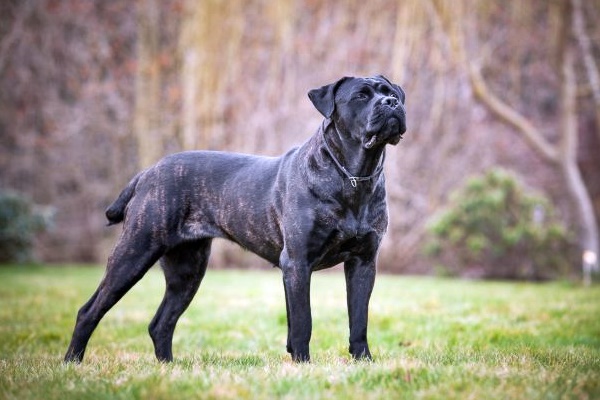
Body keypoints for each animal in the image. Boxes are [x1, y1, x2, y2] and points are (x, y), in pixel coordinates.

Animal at [63, 74, 406, 362]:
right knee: (89, 311)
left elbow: (358, 318)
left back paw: (168, 367)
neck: (354, 175)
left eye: (389, 92)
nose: (392, 103)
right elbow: (302, 321)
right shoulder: (298, 262)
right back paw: (72, 362)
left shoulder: (363, 262)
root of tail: (148, 172)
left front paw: (363, 362)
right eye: (361, 96)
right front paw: (303, 364)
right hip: (135, 251)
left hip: (187, 269)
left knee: (161, 322)